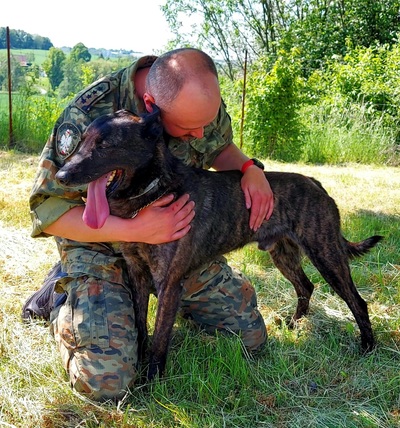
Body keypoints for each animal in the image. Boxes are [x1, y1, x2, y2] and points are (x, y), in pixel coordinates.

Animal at [55, 108, 382, 380]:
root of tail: (316, 183)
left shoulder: (168, 285)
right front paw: (141, 360)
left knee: (356, 301)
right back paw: (293, 325)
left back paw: (367, 346)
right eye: (81, 141)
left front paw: (151, 380)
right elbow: (139, 326)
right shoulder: (136, 273)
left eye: (106, 145)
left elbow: (160, 339)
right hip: (283, 255)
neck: (153, 190)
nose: (61, 175)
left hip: (326, 255)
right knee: (306, 286)